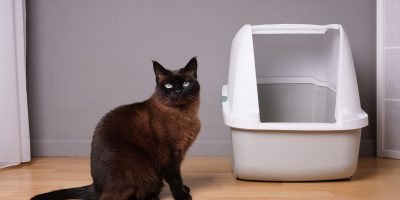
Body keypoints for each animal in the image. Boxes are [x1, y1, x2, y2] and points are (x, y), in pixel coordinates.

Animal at [30, 57, 200, 199]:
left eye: (186, 83)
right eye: (169, 85)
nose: (178, 91)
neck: (185, 115)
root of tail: (95, 187)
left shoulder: (179, 153)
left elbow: (178, 175)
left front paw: (185, 189)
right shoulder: (168, 154)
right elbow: (175, 178)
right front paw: (183, 196)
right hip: (140, 163)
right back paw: (152, 196)